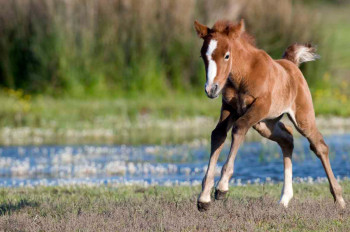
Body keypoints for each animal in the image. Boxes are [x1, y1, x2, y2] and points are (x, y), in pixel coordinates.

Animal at [194, 19, 348, 212]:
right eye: (203, 56)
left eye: (227, 56)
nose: (211, 89)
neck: (243, 75)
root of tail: (291, 64)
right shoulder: (229, 108)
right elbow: (218, 134)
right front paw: (204, 197)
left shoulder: (260, 106)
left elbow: (239, 128)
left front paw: (222, 187)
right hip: (264, 125)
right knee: (287, 138)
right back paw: (284, 199)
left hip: (301, 117)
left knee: (319, 146)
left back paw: (339, 200)